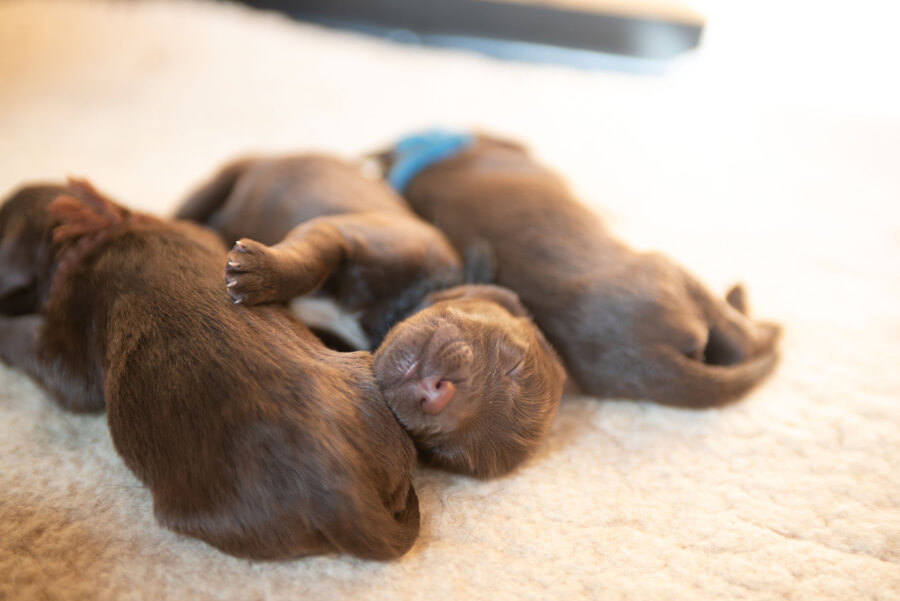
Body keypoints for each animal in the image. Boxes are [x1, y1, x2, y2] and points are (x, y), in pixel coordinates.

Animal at [178, 156, 564, 478]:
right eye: (511, 361)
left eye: (446, 453)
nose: (437, 396)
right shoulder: (349, 233)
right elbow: (312, 259)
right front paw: (261, 273)